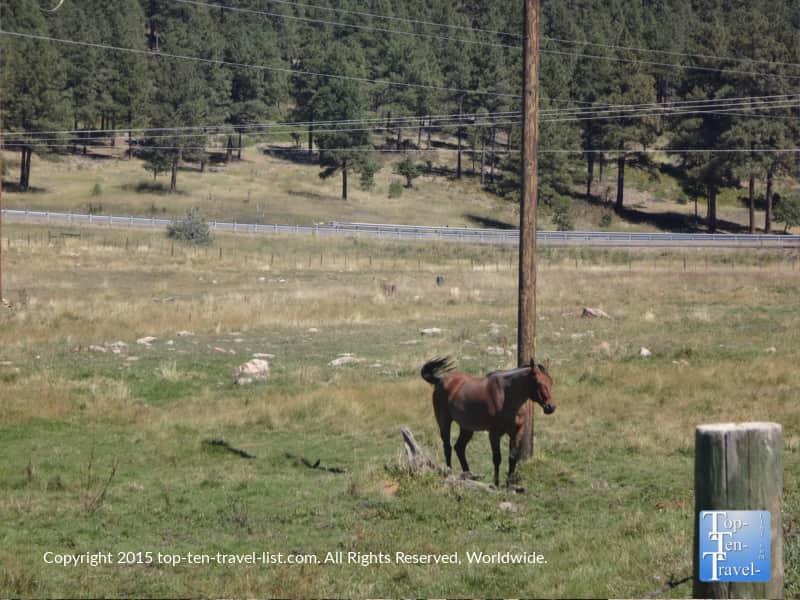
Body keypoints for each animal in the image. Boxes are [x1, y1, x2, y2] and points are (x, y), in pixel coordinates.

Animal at [420, 357, 556, 487]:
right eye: (538, 382)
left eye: (551, 381)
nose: (551, 407)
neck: (507, 396)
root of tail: (440, 380)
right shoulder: (494, 434)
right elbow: (497, 458)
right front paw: (496, 483)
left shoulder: (517, 432)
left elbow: (512, 457)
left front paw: (510, 483)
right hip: (444, 422)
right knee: (447, 447)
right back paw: (450, 472)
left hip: (467, 428)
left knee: (459, 447)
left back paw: (469, 475)